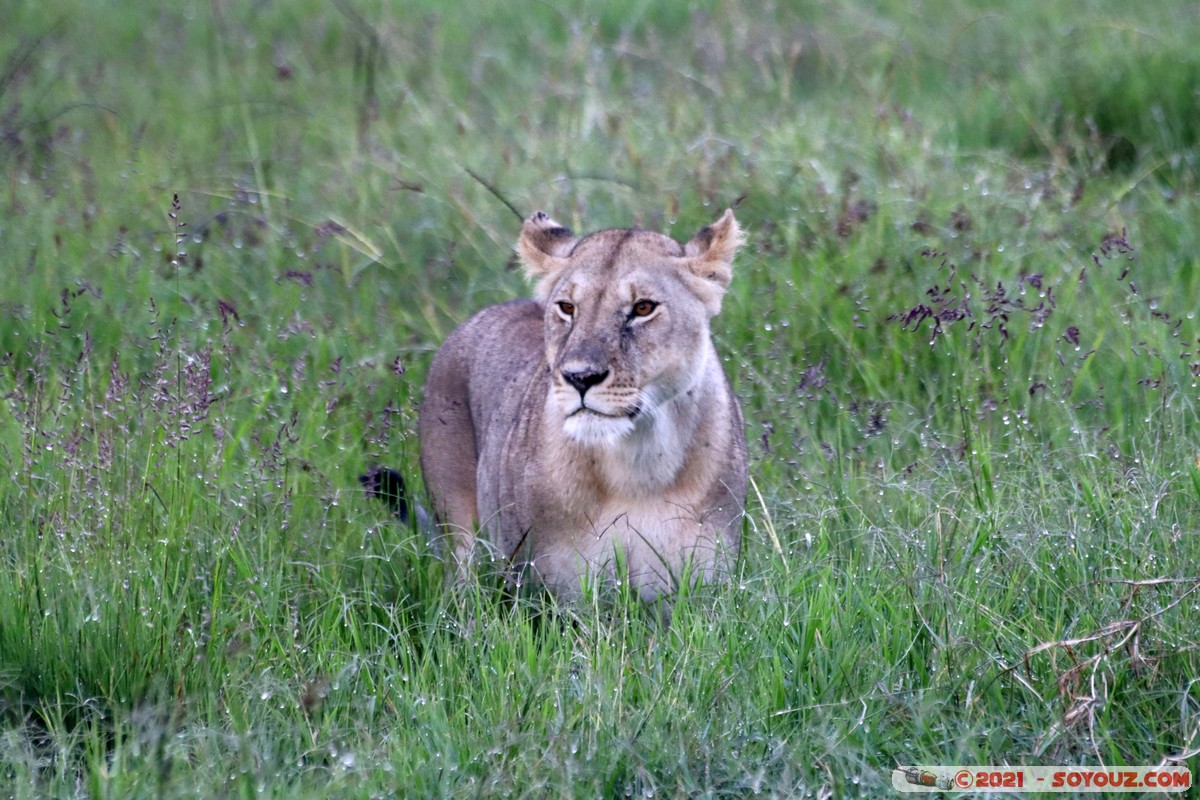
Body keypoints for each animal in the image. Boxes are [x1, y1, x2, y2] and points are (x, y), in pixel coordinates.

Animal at [415, 209, 748, 600]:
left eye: (643, 307)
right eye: (567, 307)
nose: (580, 377)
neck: (640, 463)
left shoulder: (702, 589)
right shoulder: (550, 593)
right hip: (456, 521)